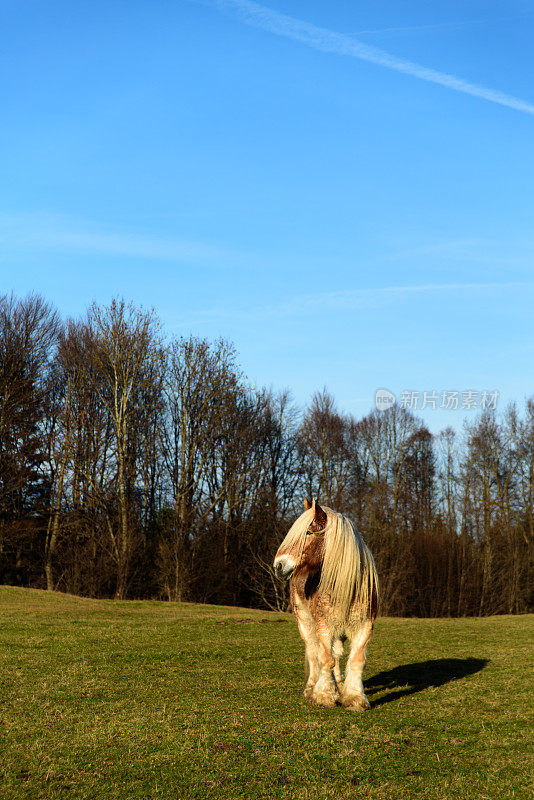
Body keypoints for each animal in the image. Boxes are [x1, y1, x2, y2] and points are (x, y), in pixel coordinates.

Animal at [274, 496, 378, 708]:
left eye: (307, 532)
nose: (278, 566)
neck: (347, 589)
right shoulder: (323, 627)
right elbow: (325, 659)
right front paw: (323, 695)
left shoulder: (365, 627)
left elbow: (356, 660)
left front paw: (354, 698)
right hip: (306, 624)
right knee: (314, 653)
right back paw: (311, 689)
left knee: (337, 654)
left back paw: (340, 686)